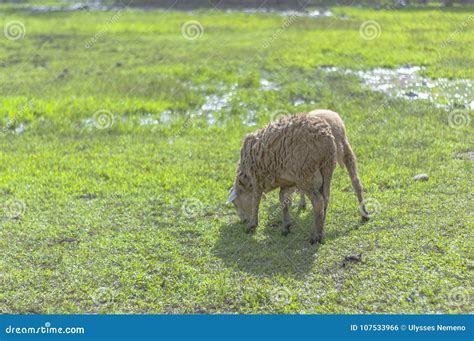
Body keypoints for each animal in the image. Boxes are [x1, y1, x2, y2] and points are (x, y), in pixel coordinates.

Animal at [226, 113, 336, 243]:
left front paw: (252, 225)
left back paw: (315, 237)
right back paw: (320, 229)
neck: (246, 179)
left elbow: (255, 201)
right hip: (327, 169)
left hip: (306, 173)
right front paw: (286, 226)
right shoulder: (287, 182)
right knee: (325, 198)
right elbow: (283, 198)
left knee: (318, 202)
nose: (243, 221)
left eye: (235, 204)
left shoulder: (256, 178)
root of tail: (325, 138)